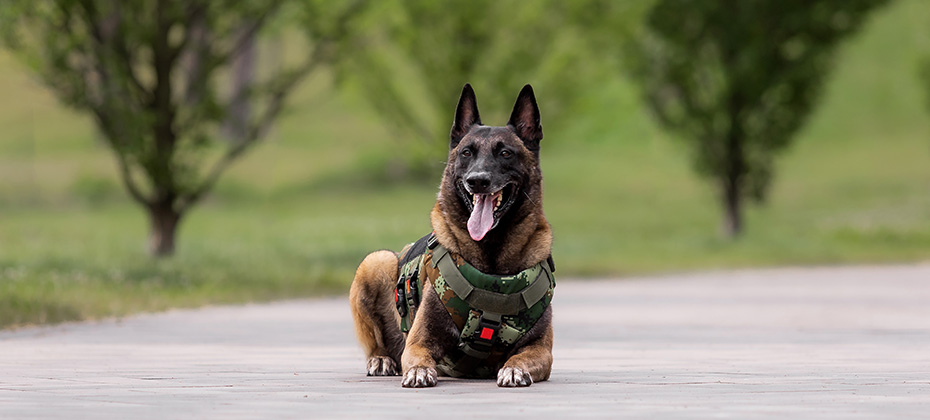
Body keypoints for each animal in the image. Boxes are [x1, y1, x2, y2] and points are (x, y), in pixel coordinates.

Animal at [348, 83, 552, 388]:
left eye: (506, 154)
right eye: (466, 153)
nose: (477, 180)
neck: (491, 257)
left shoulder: (541, 350)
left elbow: (521, 358)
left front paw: (514, 369)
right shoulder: (418, 342)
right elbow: (417, 357)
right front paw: (419, 371)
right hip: (375, 262)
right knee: (378, 344)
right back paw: (381, 359)